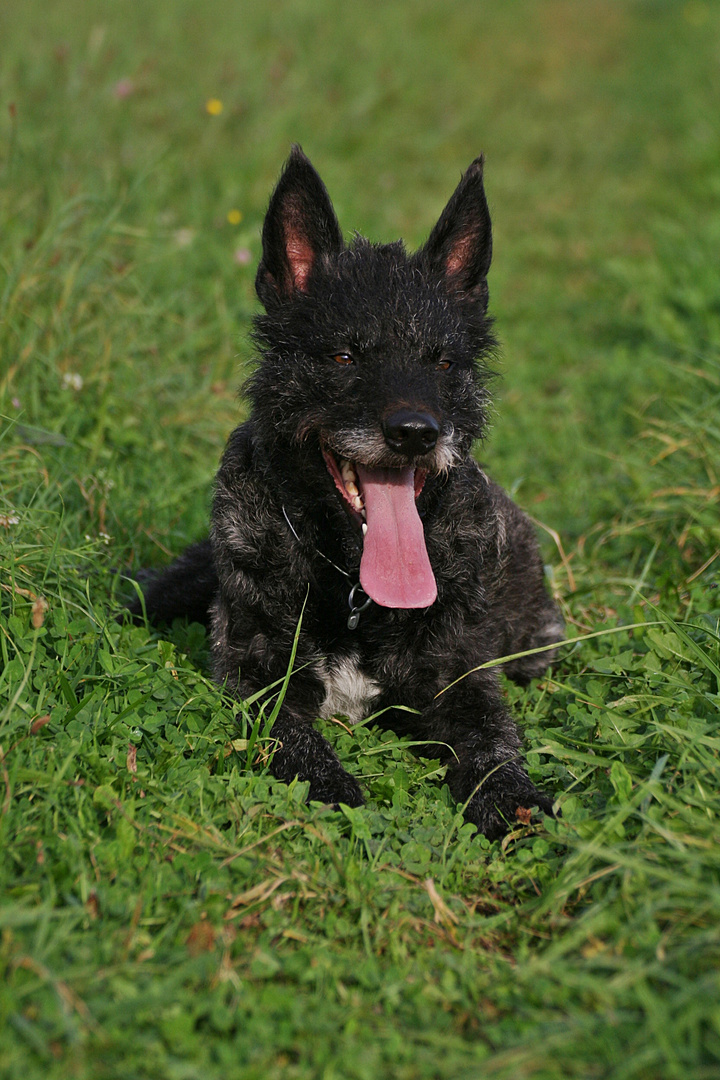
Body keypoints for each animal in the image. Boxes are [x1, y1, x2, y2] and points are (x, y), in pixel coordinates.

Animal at [132, 147, 565, 838]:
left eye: (444, 361)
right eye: (342, 357)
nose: (415, 432)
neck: (354, 585)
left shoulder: (460, 680)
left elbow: (492, 742)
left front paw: (514, 800)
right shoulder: (259, 673)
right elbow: (293, 739)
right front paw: (333, 789)